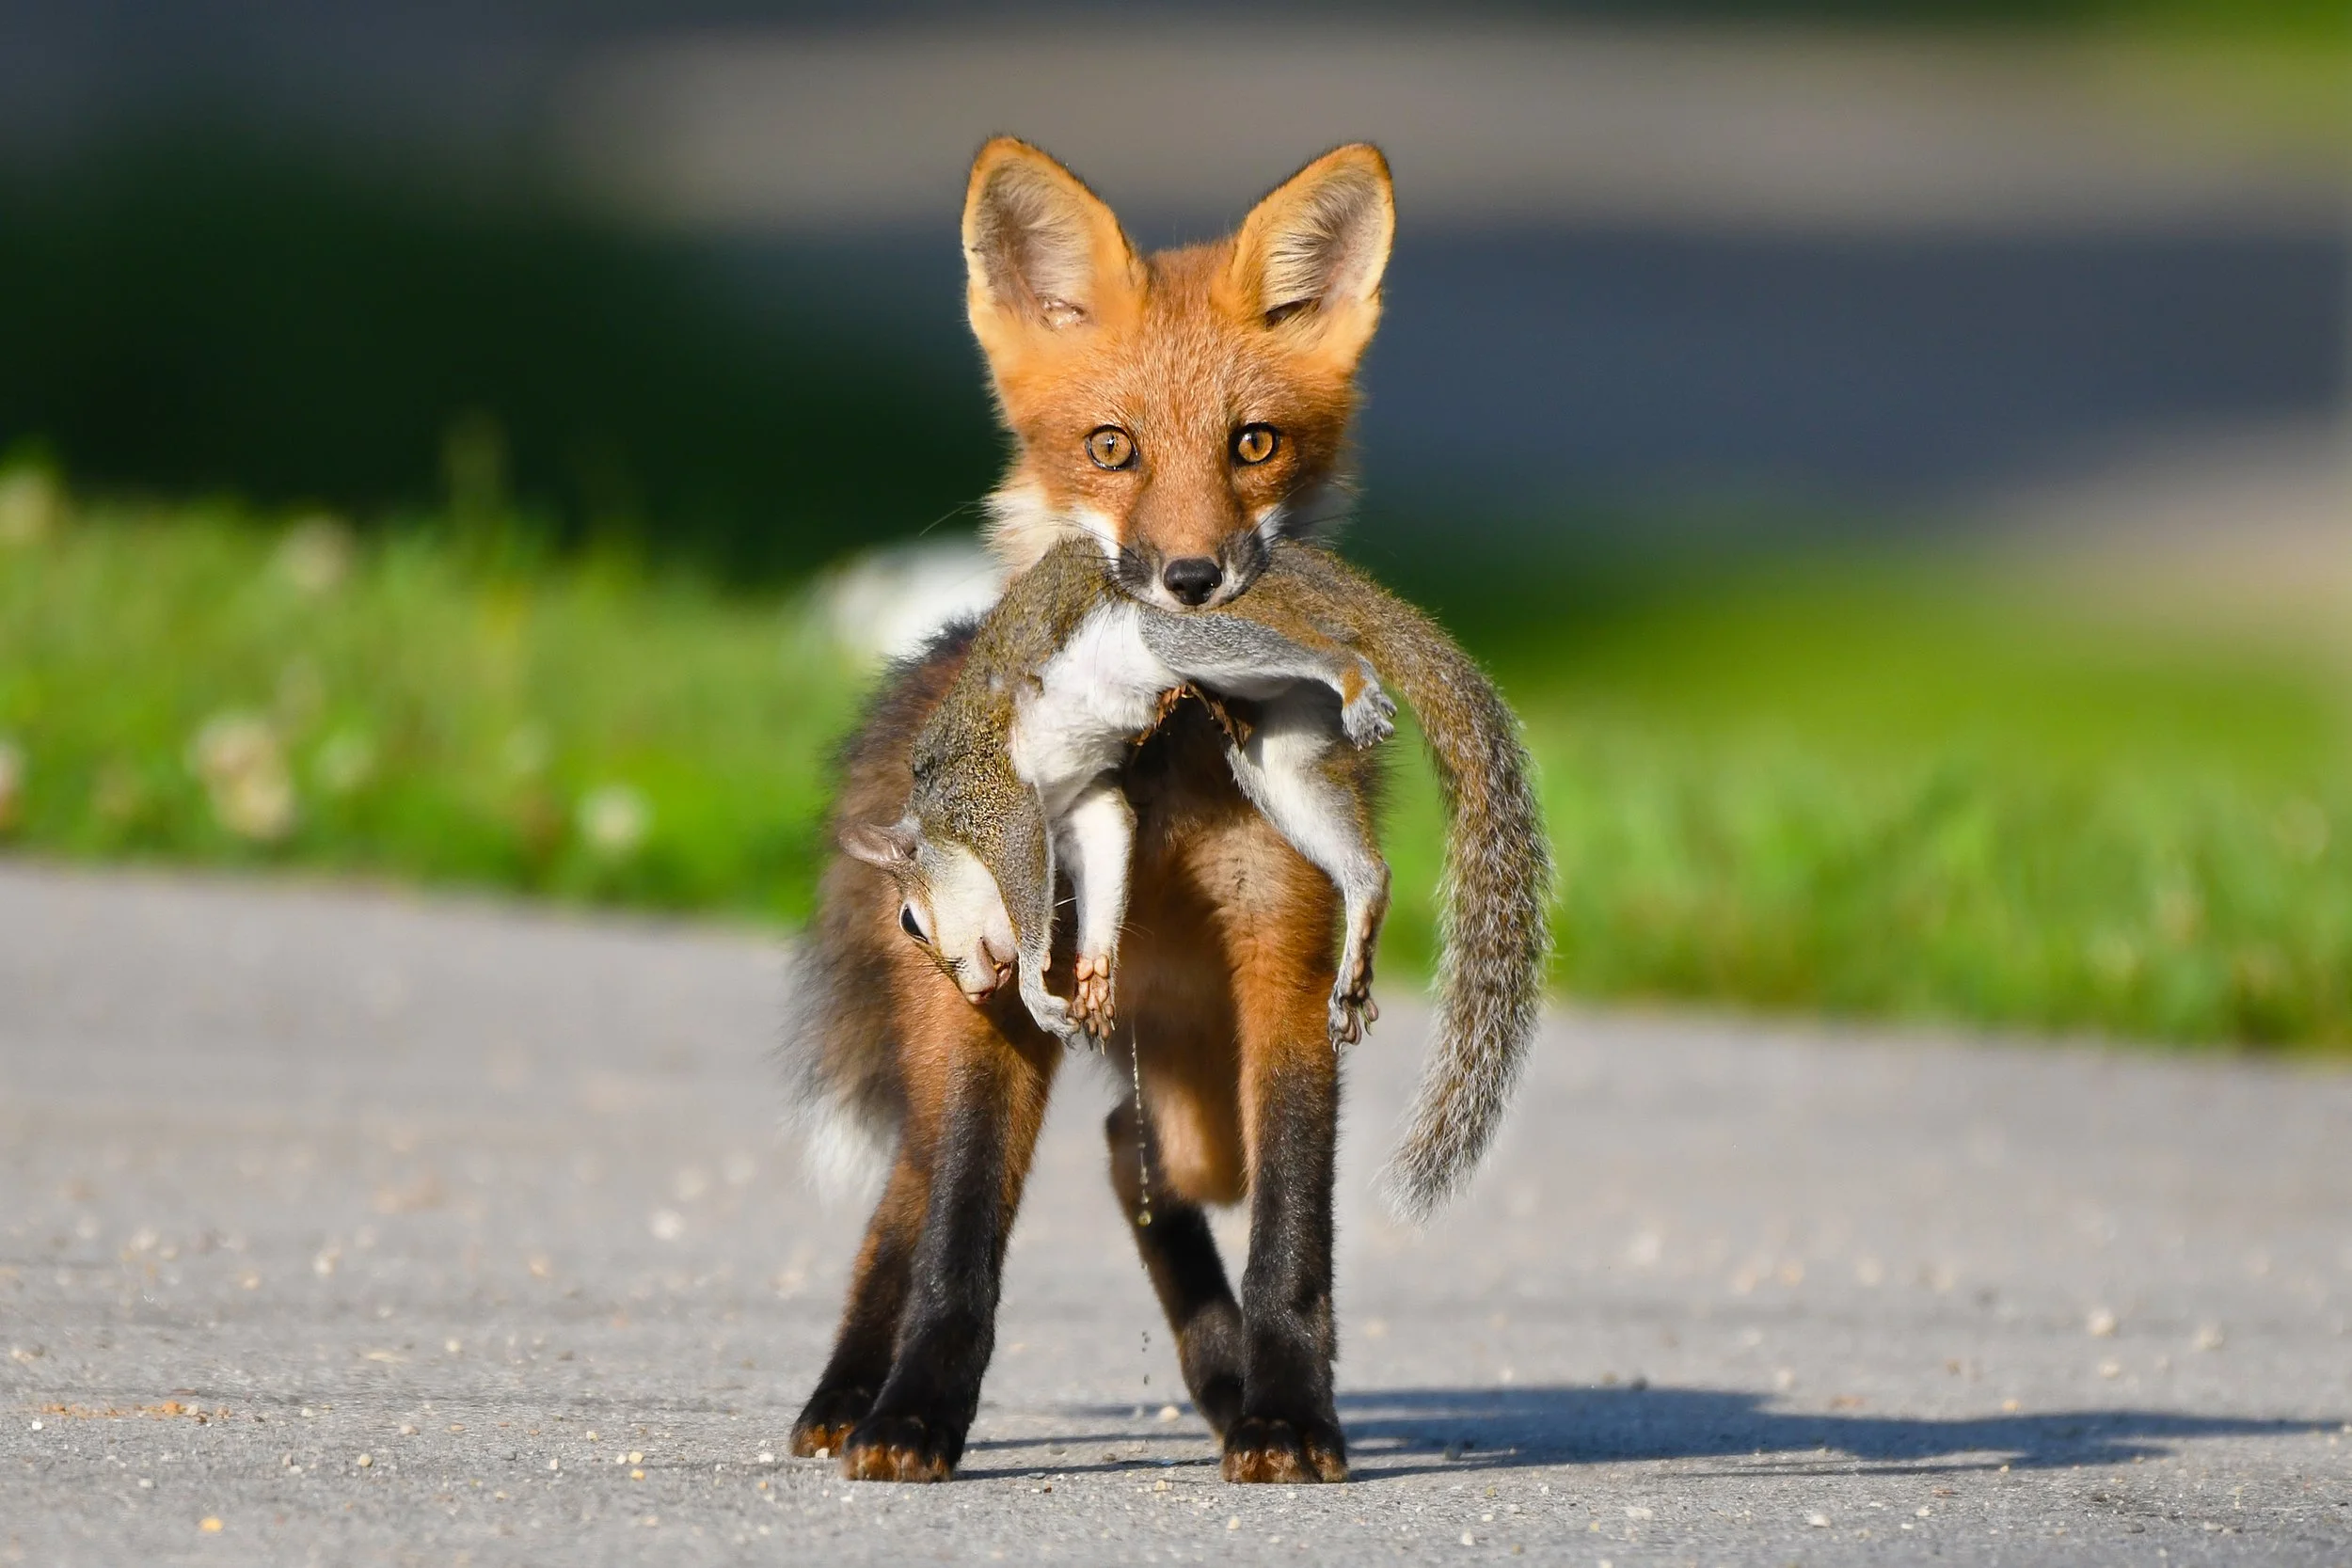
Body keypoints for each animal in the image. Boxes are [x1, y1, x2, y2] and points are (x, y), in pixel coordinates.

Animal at [844, 534, 1398, 1050]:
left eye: (910, 922)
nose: (975, 995)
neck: (938, 816)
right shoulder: (1080, 807)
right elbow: (1105, 843)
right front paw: (1093, 971)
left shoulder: (988, 795)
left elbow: (1021, 864)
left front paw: (1032, 989)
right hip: (1276, 737)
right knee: (1349, 851)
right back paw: (1361, 919)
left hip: (1179, 636)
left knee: (1318, 652)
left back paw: (1353, 679)